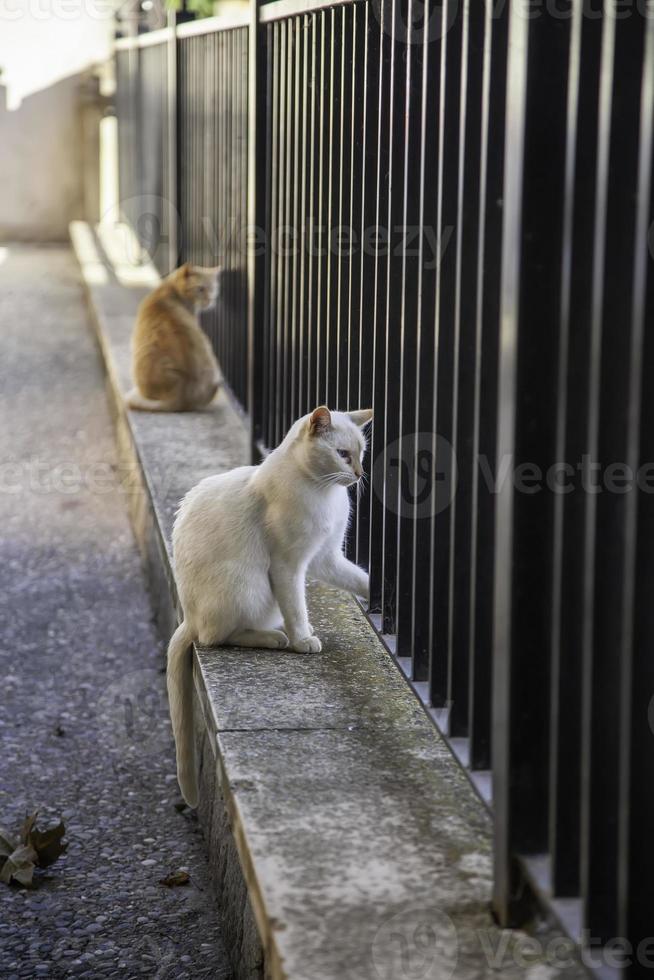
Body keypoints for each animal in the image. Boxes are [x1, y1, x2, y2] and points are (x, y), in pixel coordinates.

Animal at [167, 404, 374, 804]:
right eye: (343, 454)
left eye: (361, 454)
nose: (358, 474)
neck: (323, 493)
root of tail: (188, 617)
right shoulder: (288, 566)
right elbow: (297, 606)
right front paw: (303, 640)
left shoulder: (325, 559)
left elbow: (360, 580)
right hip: (249, 585)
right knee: (215, 637)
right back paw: (275, 638)